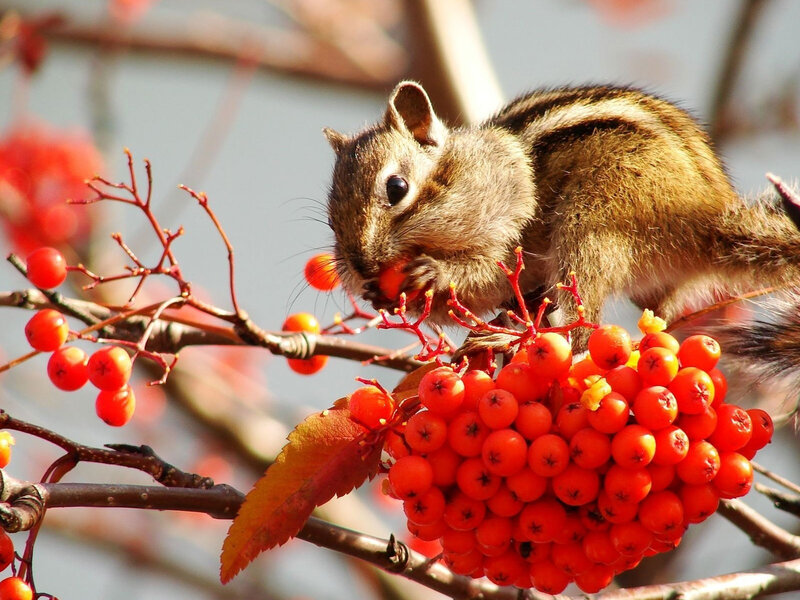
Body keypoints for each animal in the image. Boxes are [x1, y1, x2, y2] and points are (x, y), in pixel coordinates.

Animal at [323, 81, 800, 351]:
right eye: (330, 216)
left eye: (396, 188)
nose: (362, 265)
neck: (458, 171)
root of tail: (709, 219)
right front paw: (381, 294)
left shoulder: (509, 218)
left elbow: (492, 272)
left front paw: (435, 272)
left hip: (592, 224)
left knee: (584, 330)